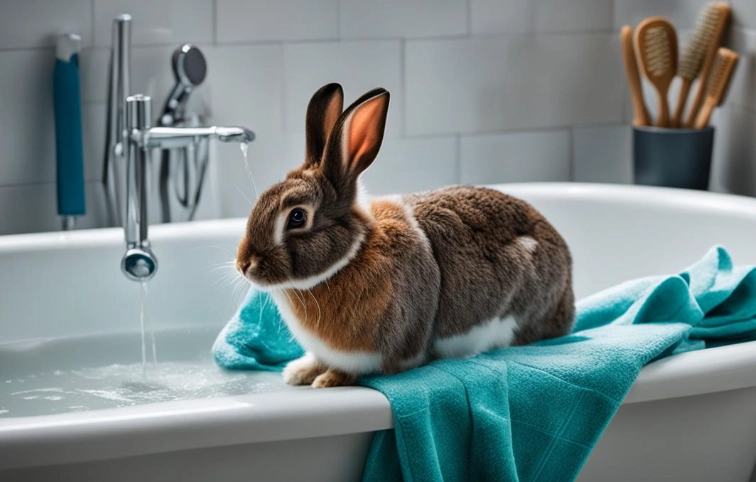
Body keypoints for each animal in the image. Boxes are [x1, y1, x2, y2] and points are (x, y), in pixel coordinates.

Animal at [236, 83, 574, 388]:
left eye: (297, 217)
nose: (244, 265)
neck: (351, 256)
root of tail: (567, 297)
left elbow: (361, 368)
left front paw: (328, 379)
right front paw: (300, 372)